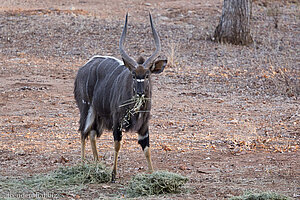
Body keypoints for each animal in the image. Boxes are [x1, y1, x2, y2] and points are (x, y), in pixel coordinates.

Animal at [72, 13, 166, 182]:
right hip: (86, 109)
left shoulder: (144, 126)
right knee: (83, 132)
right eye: (134, 75)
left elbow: (147, 148)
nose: (140, 93)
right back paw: (82, 166)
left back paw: (97, 164)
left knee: (92, 134)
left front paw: (152, 175)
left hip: (98, 116)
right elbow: (117, 144)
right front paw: (113, 174)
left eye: (147, 75)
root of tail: (83, 68)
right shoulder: (117, 122)